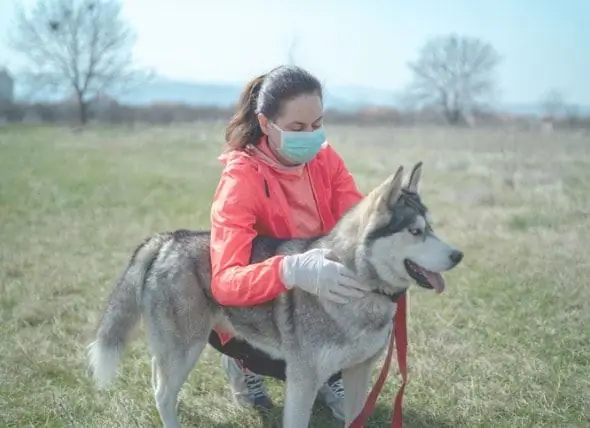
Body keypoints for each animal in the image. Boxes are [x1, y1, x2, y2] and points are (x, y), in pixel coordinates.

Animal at [89, 162, 468, 426]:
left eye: (431, 228)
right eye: (415, 232)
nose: (458, 255)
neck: (360, 284)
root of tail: (169, 238)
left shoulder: (358, 371)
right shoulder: (302, 379)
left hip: (180, 346)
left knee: (160, 380)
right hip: (186, 348)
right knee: (162, 392)